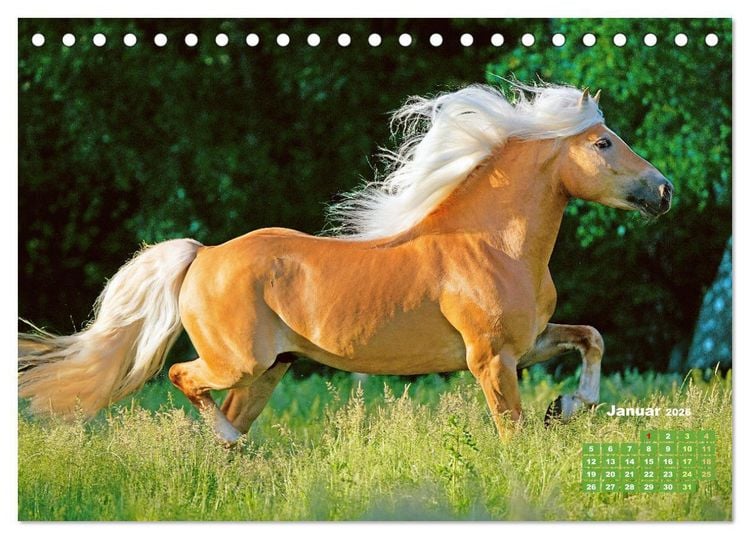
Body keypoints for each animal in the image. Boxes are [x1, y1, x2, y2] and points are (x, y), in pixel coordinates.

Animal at [18, 83, 673, 444]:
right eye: (603, 142)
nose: (664, 191)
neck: (493, 246)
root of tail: (203, 255)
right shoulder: (490, 359)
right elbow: (512, 434)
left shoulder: (528, 343)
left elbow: (591, 338)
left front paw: (566, 407)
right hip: (238, 362)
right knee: (185, 378)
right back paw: (235, 444)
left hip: (269, 371)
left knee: (222, 419)